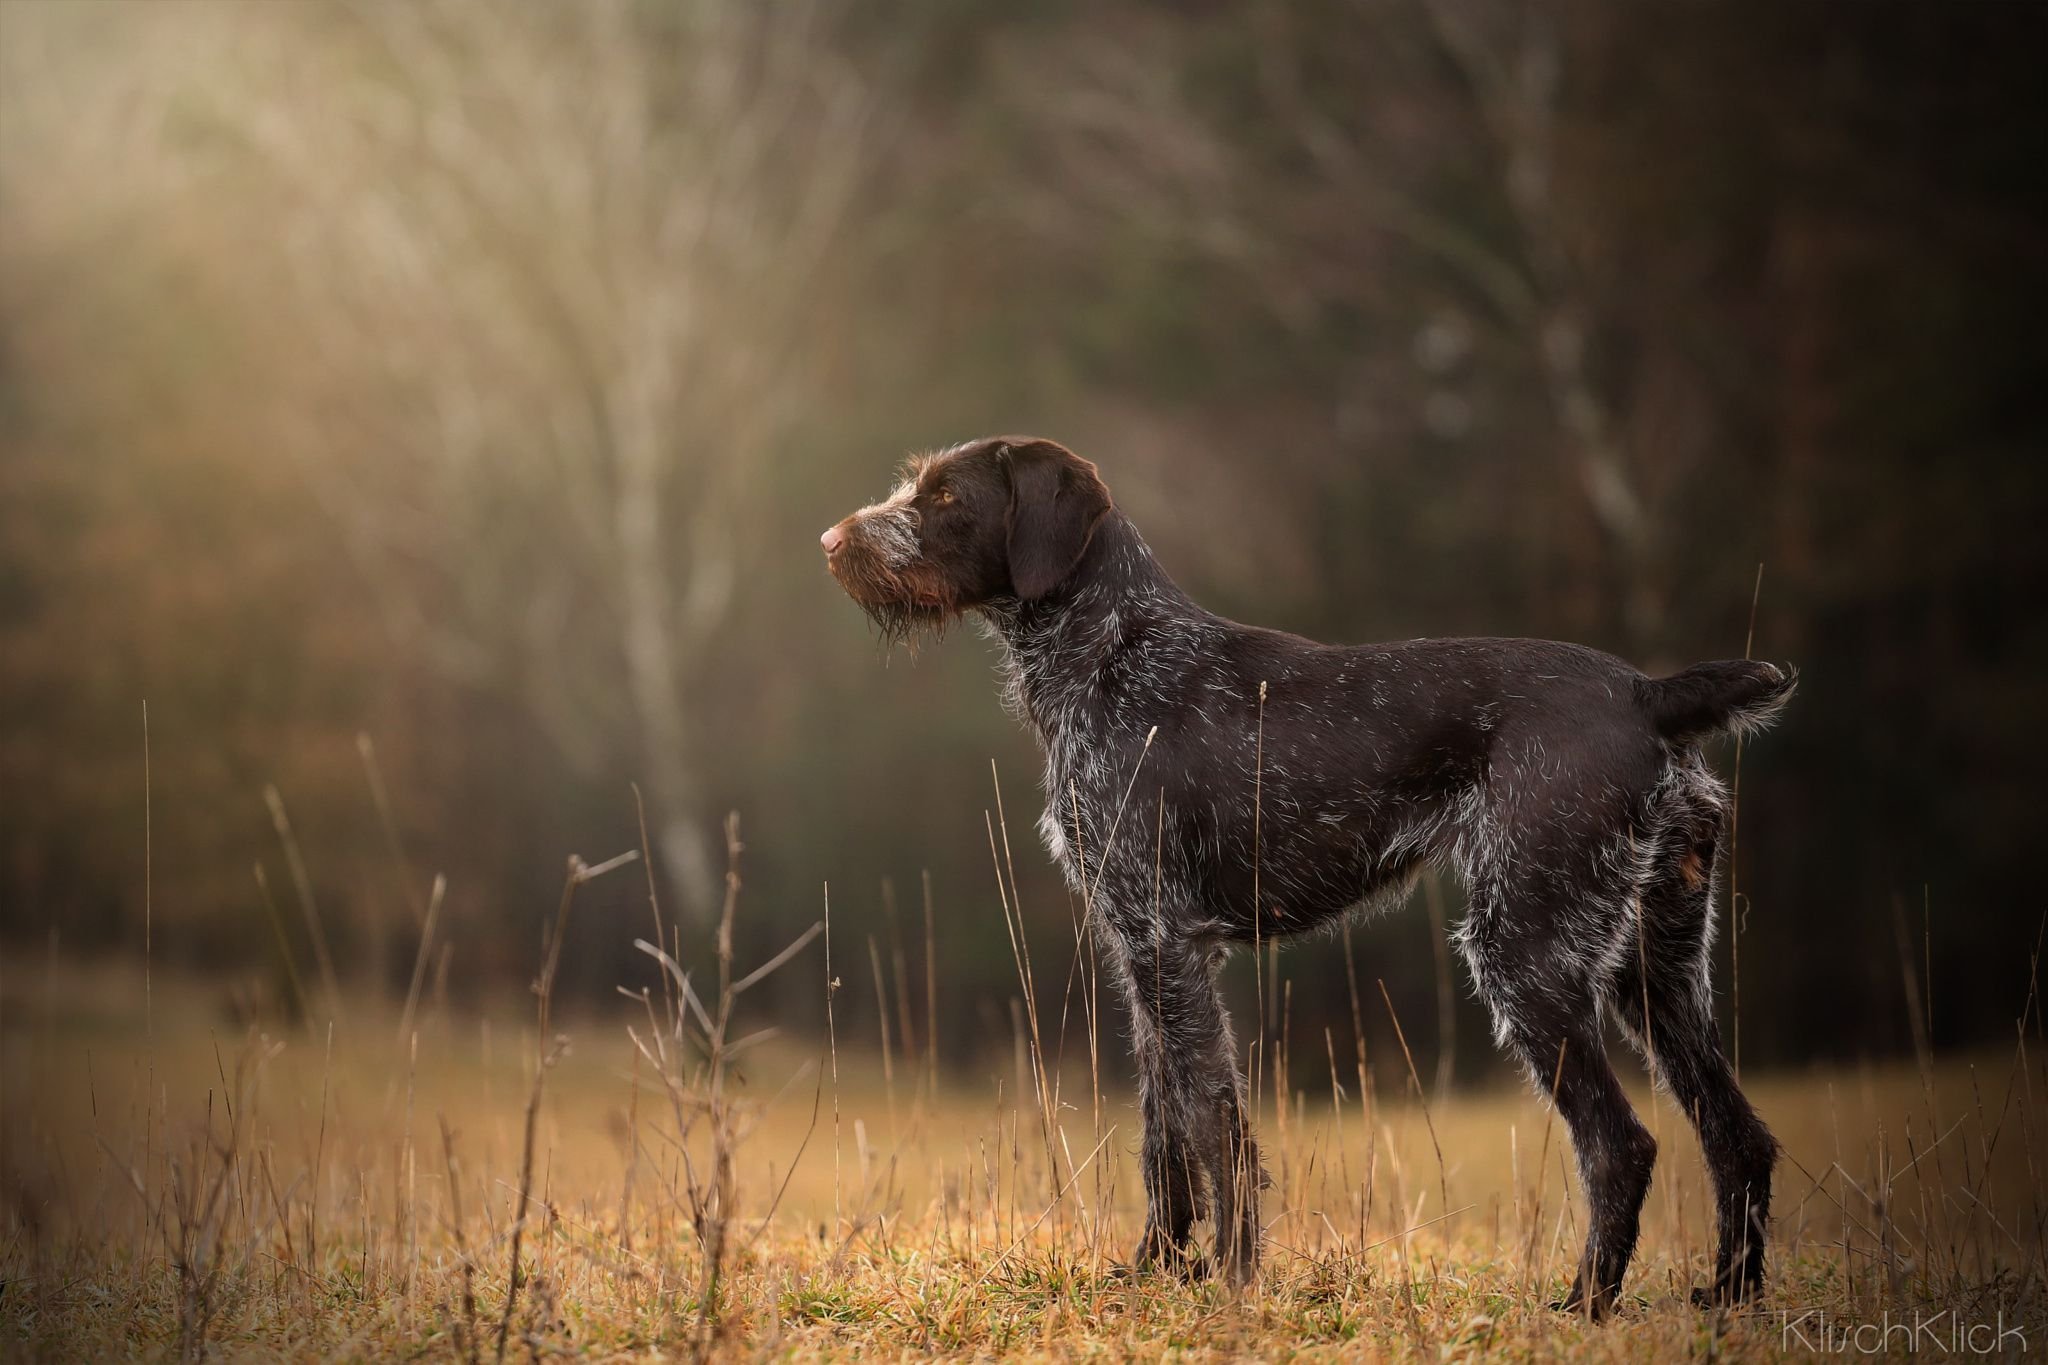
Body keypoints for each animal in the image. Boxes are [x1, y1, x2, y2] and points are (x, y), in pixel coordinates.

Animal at [819, 435, 1794, 1309]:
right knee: (1737, 1133)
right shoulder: (1142, 953)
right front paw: (1155, 1272)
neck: (1110, 652)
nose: (831, 541)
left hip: (1525, 953)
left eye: (947, 496)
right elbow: (1162, 1133)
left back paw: (1584, 1304)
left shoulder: (1167, 942)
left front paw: (1234, 1279)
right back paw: (1728, 1296)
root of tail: (1646, 694)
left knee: (1621, 1145)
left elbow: (1212, 1125)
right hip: (1655, 967)